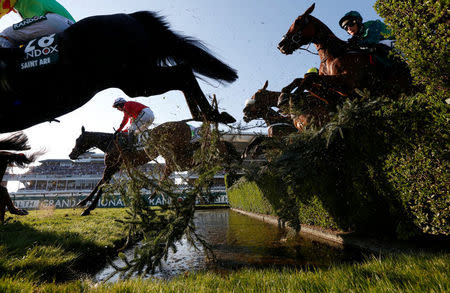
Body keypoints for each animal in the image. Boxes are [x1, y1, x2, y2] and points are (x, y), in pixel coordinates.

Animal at [0, 11, 239, 132]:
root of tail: (129, 15)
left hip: (136, 79)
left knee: (182, 72)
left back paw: (211, 115)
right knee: (183, 73)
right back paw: (205, 116)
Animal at [68, 122, 241, 216]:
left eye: (77, 140)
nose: (71, 154)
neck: (111, 142)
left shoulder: (112, 166)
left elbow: (102, 184)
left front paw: (88, 207)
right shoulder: (114, 167)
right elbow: (100, 184)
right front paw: (84, 202)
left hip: (176, 152)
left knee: (188, 163)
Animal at [276, 3, 414, 106]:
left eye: (298, 22)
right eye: (345, 26)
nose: (281, 45)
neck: (332, 55)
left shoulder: (347, 82)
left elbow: (309, 78)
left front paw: (293, 96)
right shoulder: (333, 95)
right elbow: (302, 78)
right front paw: (283, 94)